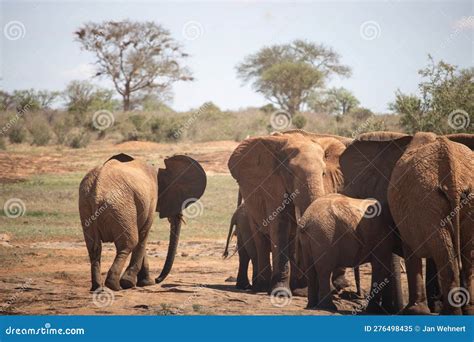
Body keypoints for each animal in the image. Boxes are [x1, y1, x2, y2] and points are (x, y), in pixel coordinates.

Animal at [78, 154, 206, 290]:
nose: (157, 279)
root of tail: (97, 190)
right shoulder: (151, 198)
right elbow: (143, 235)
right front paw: (133, 282)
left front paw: (146, 282)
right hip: (120, 207)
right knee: (128, 243)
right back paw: (115, 286)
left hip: (86, 207)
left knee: (94, 247)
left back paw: (97, 287)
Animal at [228, 130, 354, 296]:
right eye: (289, 173)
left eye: (323, 173)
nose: (334, 291)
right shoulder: (273, 185)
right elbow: (280, 226)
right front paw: (280, 292)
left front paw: (306, 291)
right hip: (250, 212)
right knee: (259, 242)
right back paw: (261, 287)